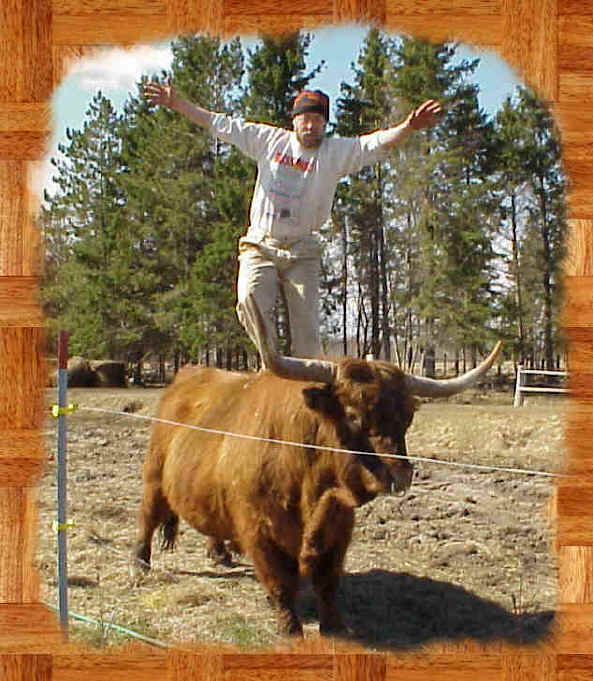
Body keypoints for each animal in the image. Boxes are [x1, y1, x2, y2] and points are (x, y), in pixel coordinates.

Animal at [134, 322, 501, 636]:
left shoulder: (338, 527)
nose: (400, 475)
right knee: (147, 519)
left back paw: (219, 553)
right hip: (153, 478)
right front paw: (291, 630)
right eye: (353, 415)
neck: (311, 490)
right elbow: (281, 584)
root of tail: (190, 373)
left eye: (407, 417)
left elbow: (327, 581)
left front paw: (335, 627)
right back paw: (140, 564)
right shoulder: (259, 530)